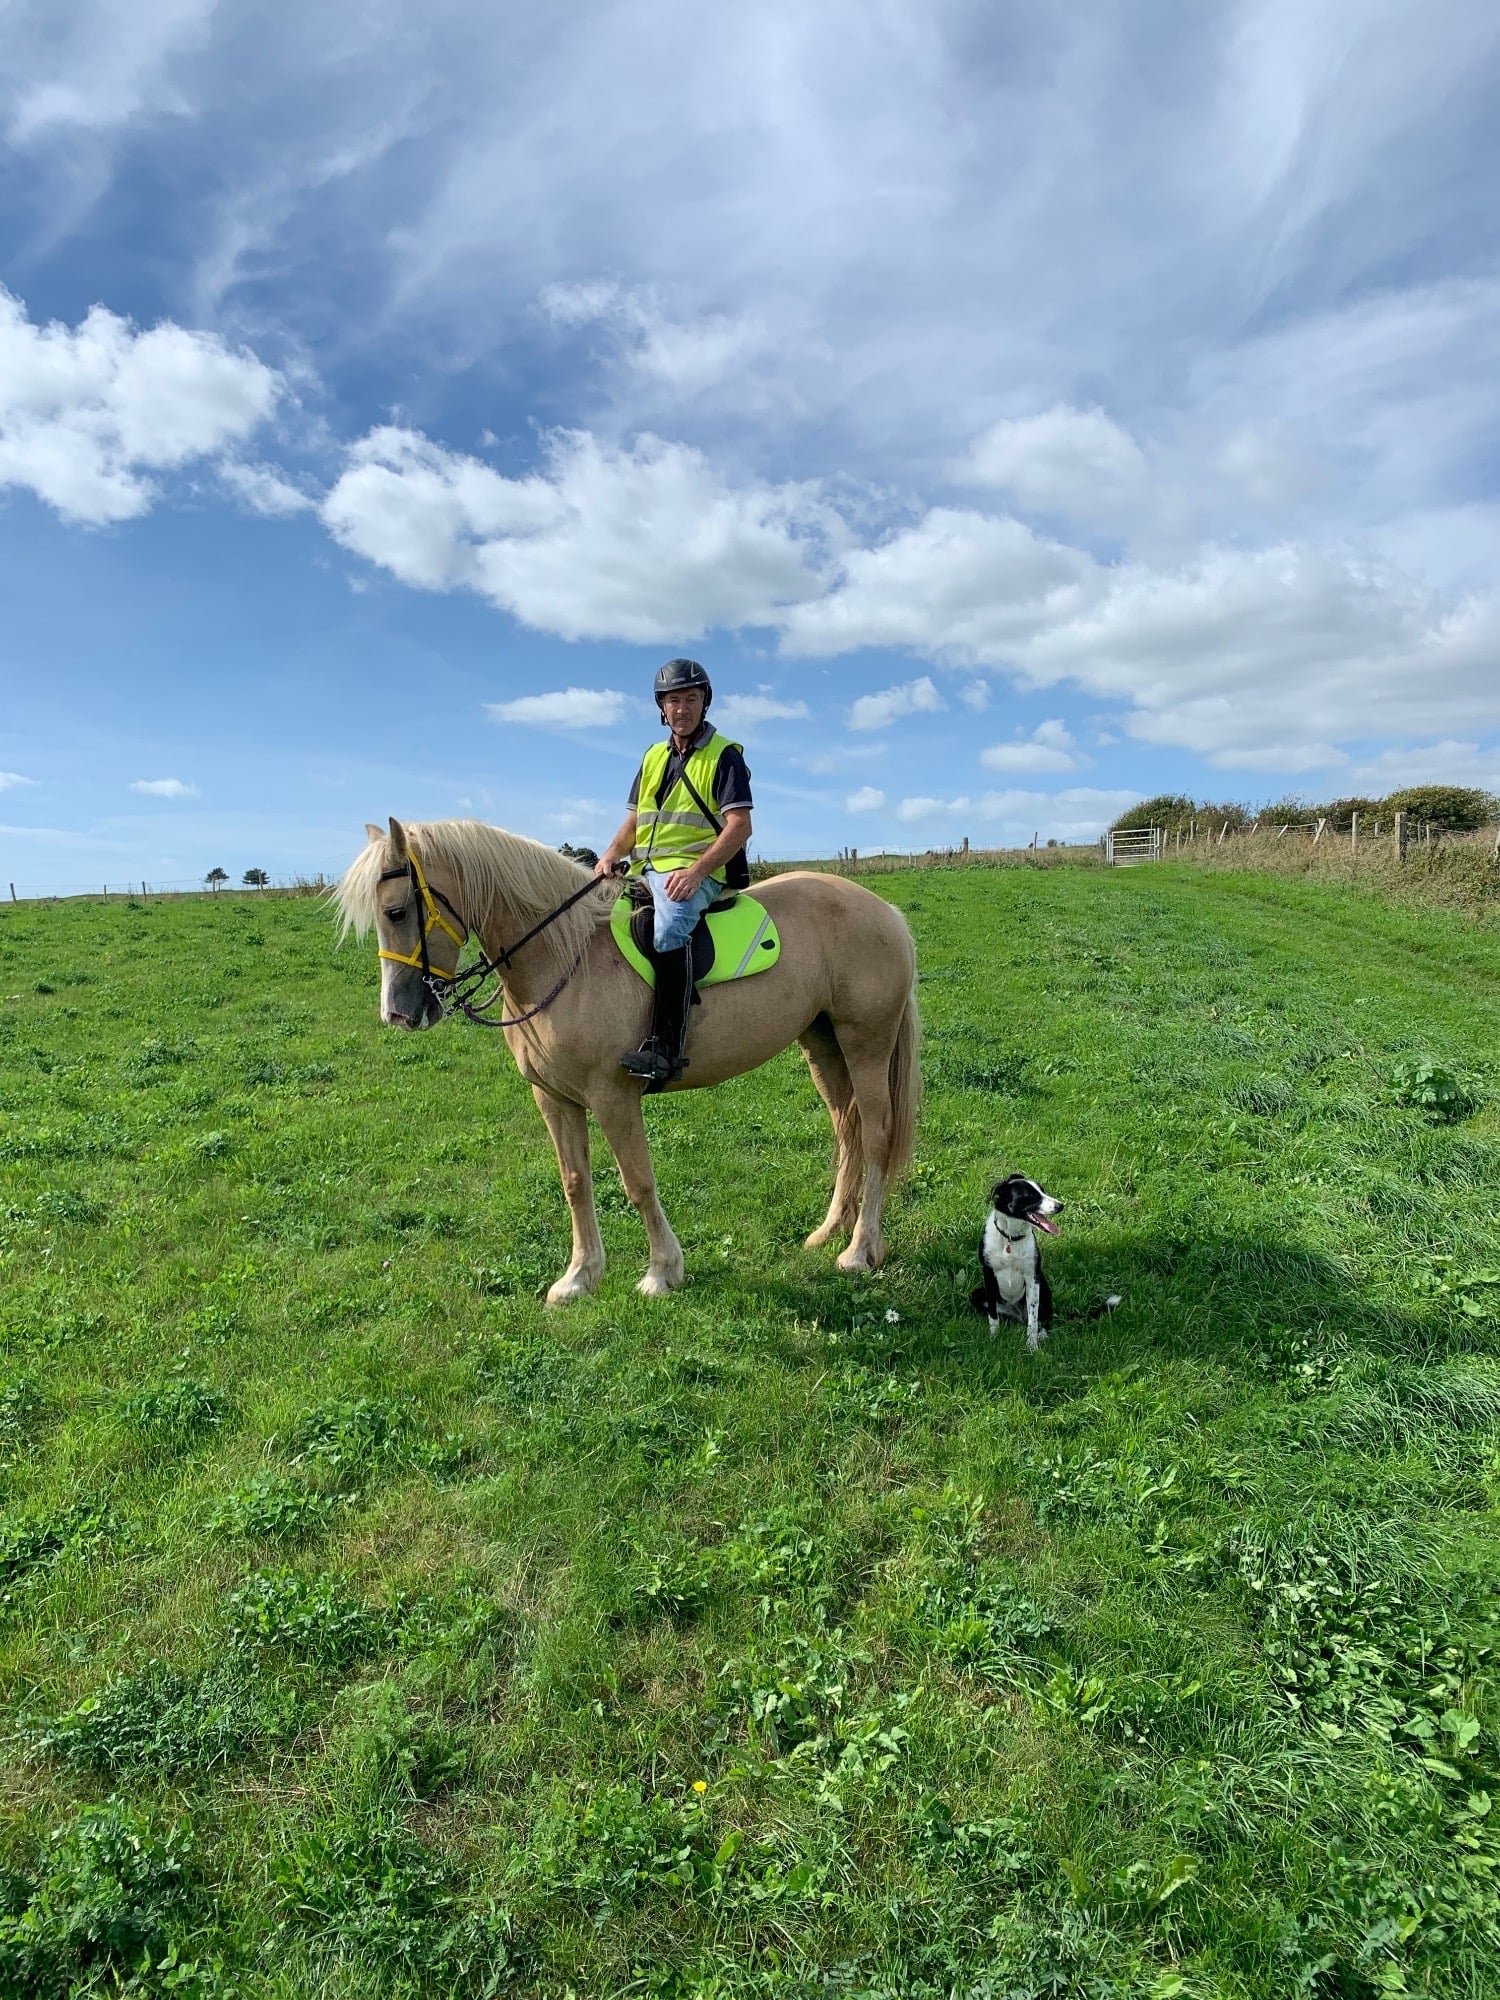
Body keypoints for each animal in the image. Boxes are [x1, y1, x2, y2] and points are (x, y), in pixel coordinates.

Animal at [336, 818, 920, 1301]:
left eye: (396, 911)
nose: (398, 1013)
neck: (565, 956)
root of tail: (884, 912)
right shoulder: (554, 1099)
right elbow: (575, 1183)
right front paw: (578, 1278)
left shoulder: (612, 1096)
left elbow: (637, 1182)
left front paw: (662, 1272)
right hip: (822, 1044)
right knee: (846, 1129)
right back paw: (830, 1232)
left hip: (865, 1044)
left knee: (875, 1134)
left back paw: (860, 1250)